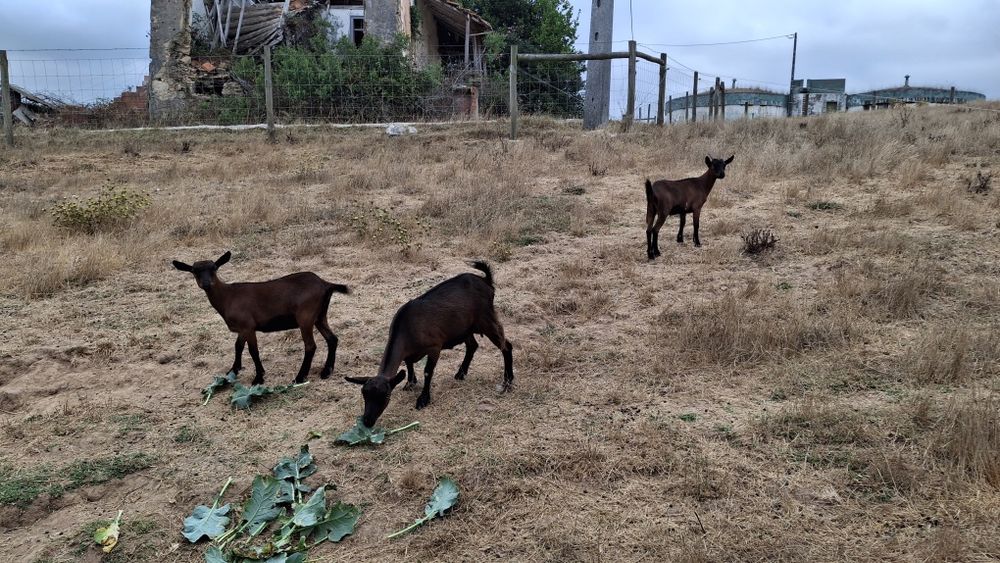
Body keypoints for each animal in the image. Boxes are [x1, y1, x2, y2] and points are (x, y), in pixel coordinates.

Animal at [172, 251, 349, 385]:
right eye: (194, 271)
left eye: (214, 268)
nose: (207, 284)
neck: (228, 297)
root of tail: (325, 284)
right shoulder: (242, 329)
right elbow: (238, 346)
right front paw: (233, 370)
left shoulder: (248, 326)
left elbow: (253, 351)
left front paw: (258, 378)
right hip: (319, 316)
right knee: (332, 339)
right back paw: (326, 371)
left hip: (305, 317)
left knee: (310, 346)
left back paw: (299, 377)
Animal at [345, 261, 513, 427]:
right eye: (364, 395)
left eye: (385, 396)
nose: (367, 421)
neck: (407, 328)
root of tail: (486, 281)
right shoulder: (410, 352)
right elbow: (408, 363)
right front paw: (410, 383)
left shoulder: (434, 347)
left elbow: (427, 371)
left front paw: (423, 399)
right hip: (465, 328)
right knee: (473, 346)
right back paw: (461, 374)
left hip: (487, 320)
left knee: (506, 346)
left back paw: (508, 381)